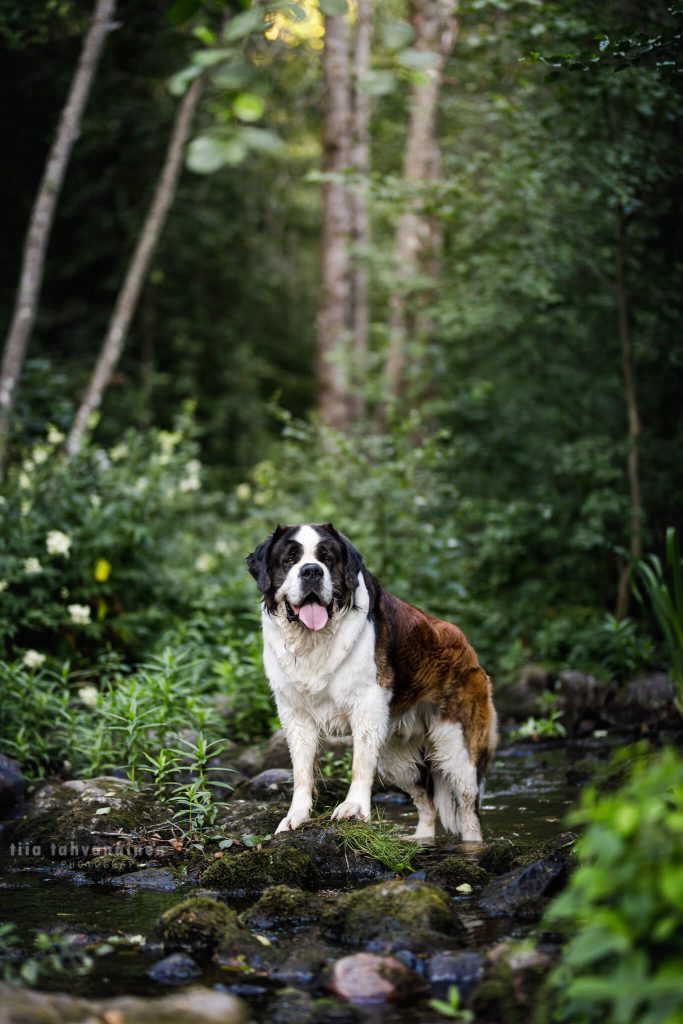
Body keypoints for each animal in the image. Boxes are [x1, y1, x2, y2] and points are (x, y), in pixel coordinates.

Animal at [245, 528, 497, 839]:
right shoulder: (295, 714)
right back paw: (421, 840)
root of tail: (468, 648)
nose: (312, 571)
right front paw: (296, 817)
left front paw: (353, 809)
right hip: (397, 760)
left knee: (468, 809)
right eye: (290, 559)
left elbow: (360, 762)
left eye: (327, 559)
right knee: (426, 803)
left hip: (457, 750)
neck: (313, 640)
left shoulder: (367, 705)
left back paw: (471, 844)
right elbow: (302, 770)